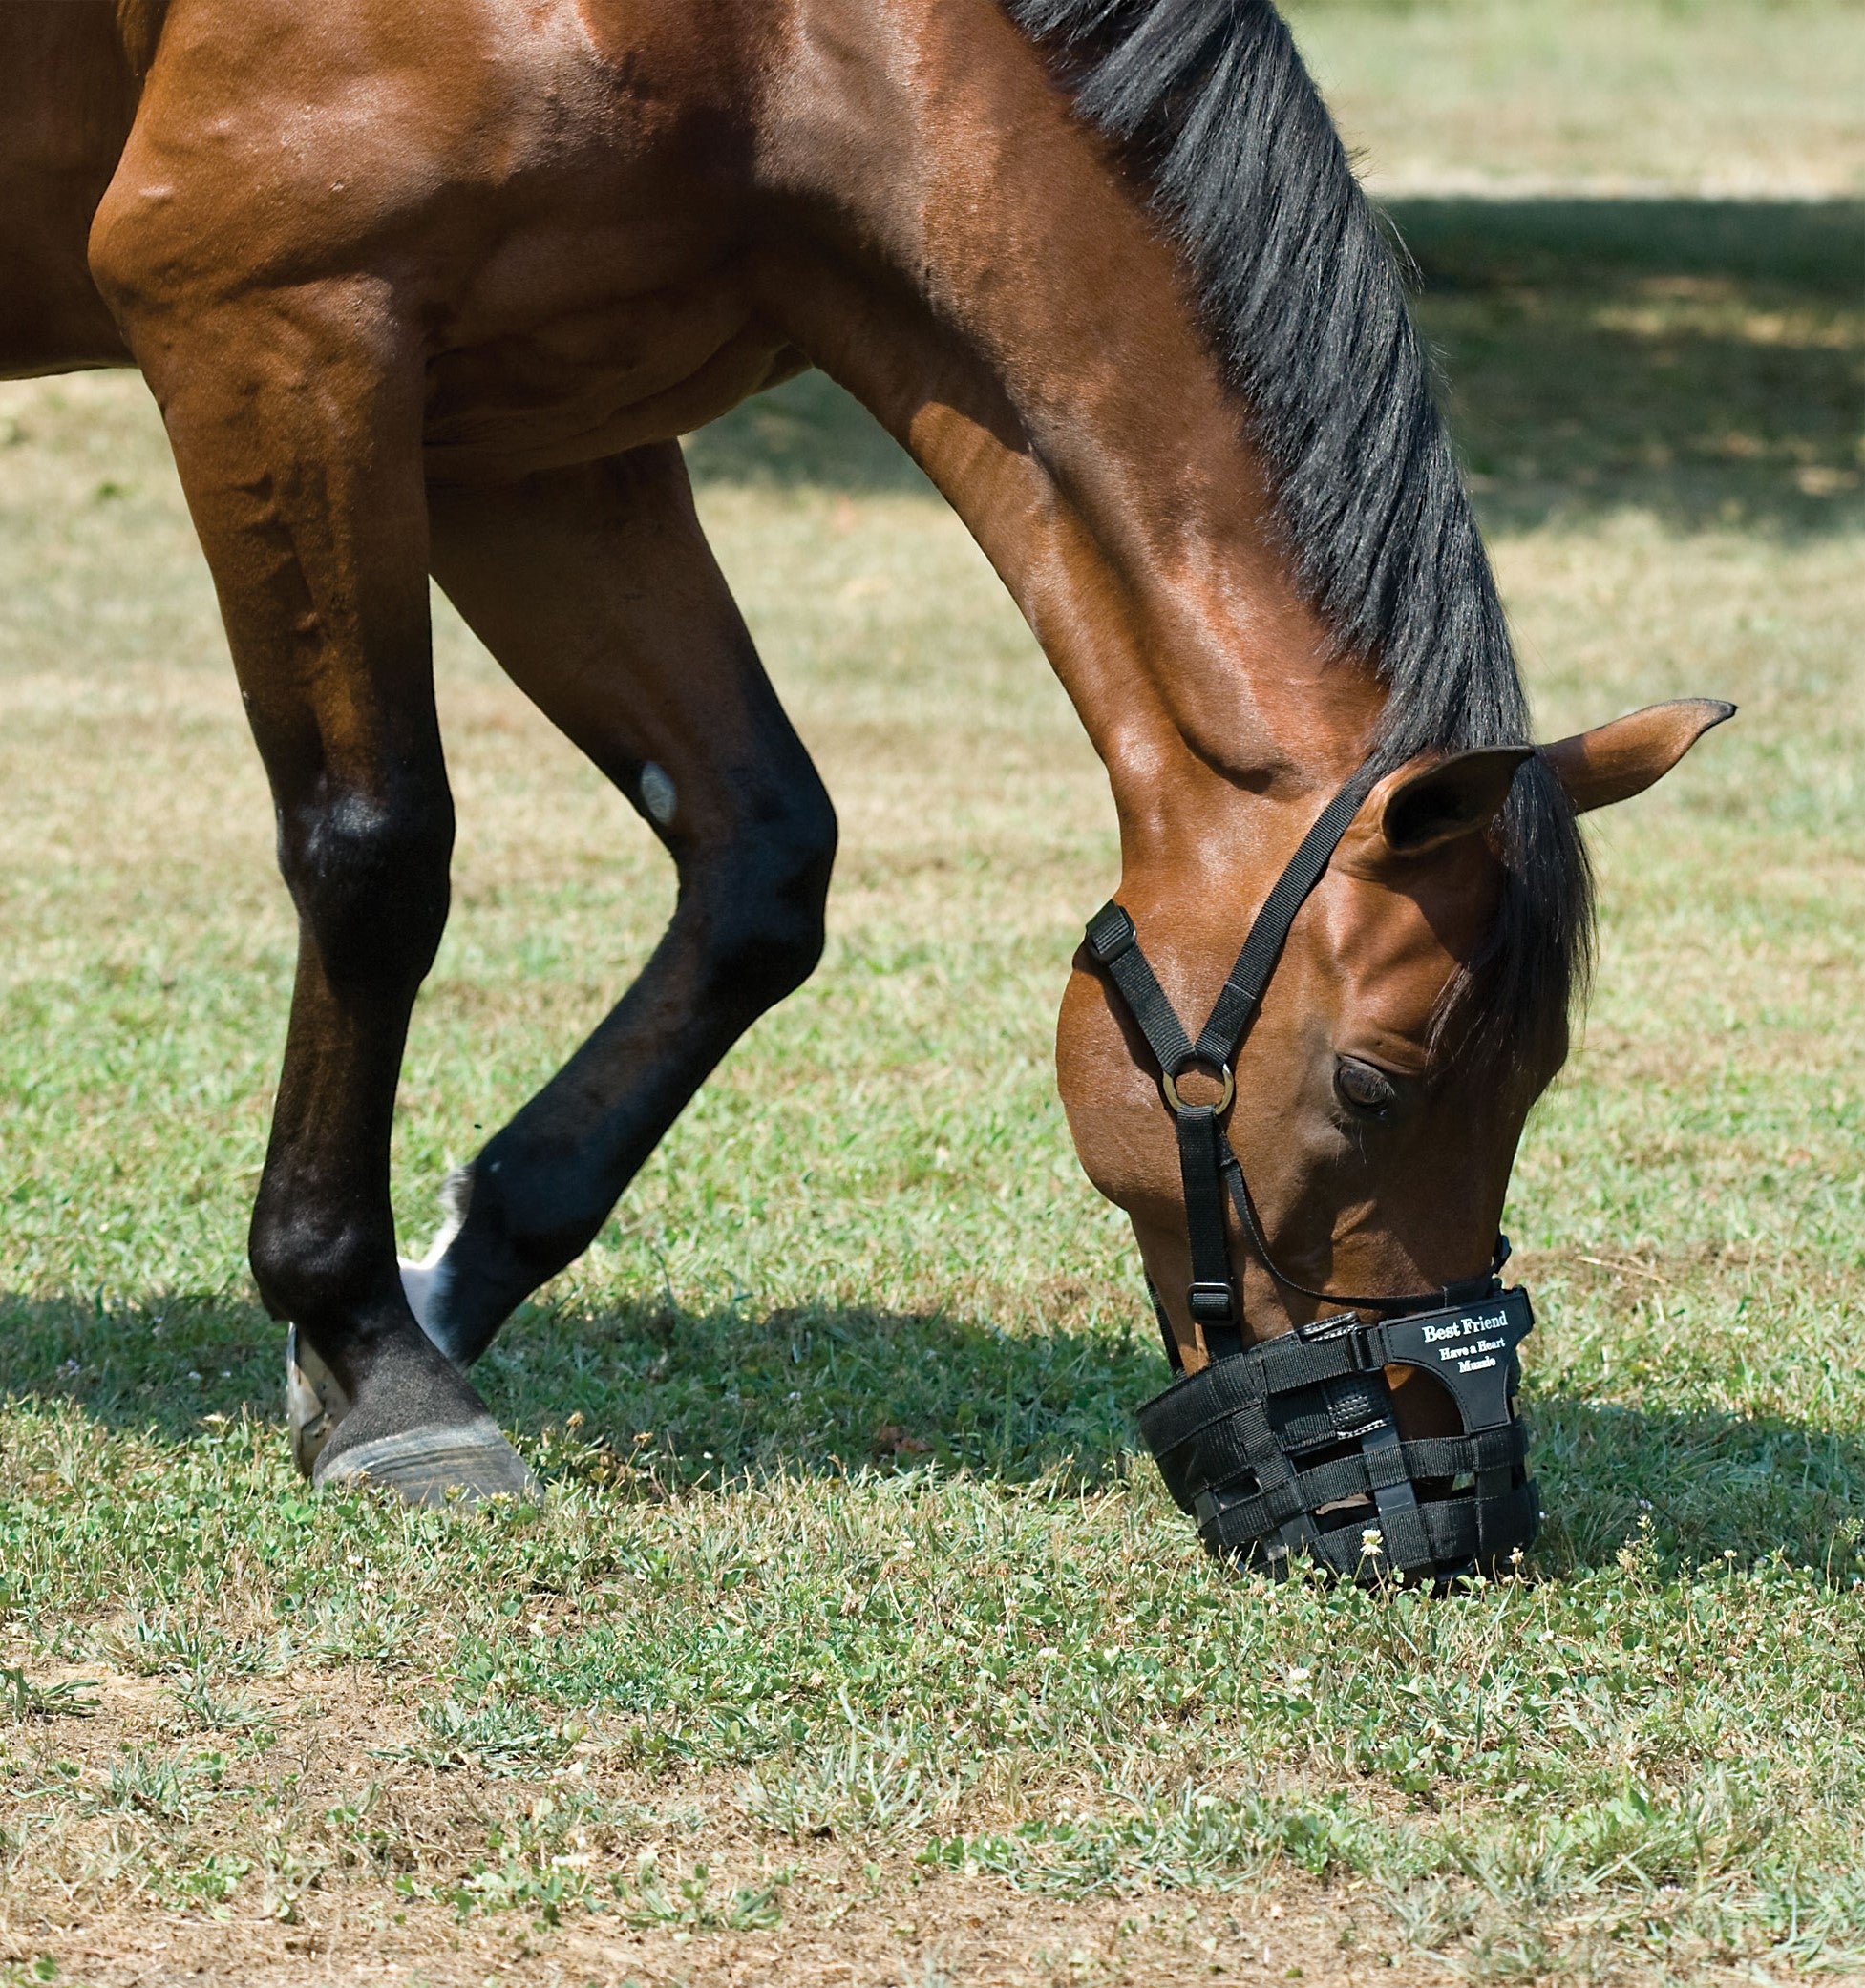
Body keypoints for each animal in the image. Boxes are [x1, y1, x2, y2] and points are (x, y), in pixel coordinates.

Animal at [0, 0, 1726, 1558]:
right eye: (1374, 1085)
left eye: (1537, 1076)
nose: (1452, 1503)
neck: (772, 46)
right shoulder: (280, 331)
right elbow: (375, 852)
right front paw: (373, 1361)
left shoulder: (532, 426)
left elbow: (760, 861)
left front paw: (436, 1294)